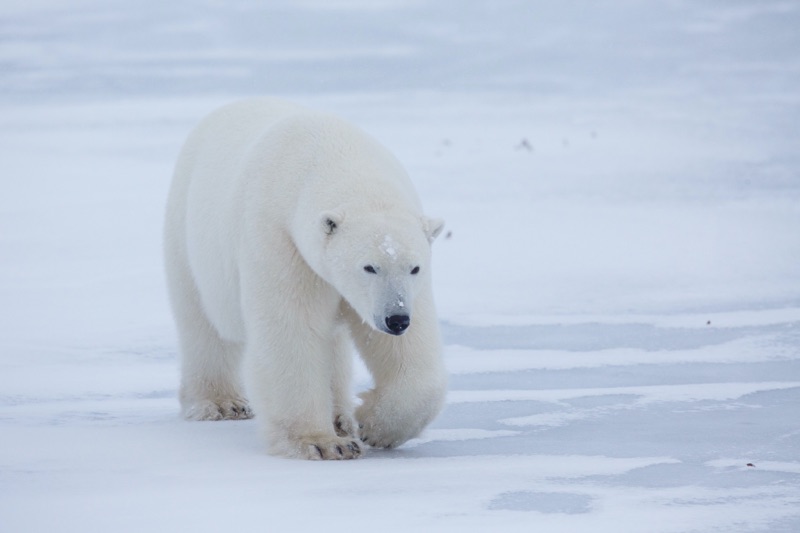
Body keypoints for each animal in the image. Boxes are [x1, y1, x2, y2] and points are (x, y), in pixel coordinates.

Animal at [163, 97, 447, 460]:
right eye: (369, 267)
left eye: (414, 268)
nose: (396, 319)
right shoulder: (279, 237)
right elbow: (292, 329)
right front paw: (323, 443)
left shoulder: (403, 289)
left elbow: (408, 349)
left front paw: (374, 426)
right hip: (188, 238)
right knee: (203, 325)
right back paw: (221, 403)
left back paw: (341, 415)